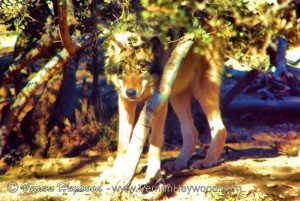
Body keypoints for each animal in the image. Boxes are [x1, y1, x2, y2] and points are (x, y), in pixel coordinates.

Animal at [101, 13, 227, 184]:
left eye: (142, 70)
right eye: (123, 71)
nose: (131, 92)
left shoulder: (158, 102)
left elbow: (154, 140)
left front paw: (153, 174)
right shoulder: (124, 102)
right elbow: (122, 142)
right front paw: (116, 172)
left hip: (202, 90)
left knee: (220, 128)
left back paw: (207, 161)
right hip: (176, 96)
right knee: (192, 132)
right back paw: (179, 163)